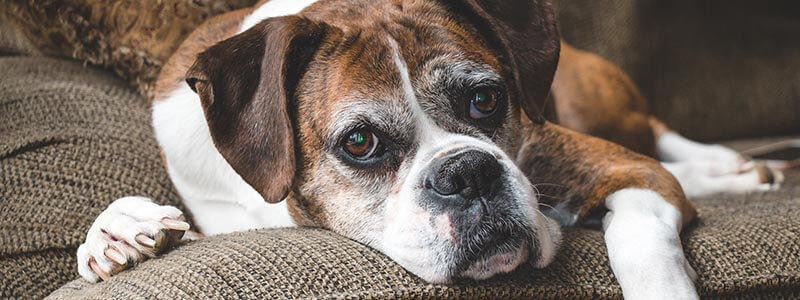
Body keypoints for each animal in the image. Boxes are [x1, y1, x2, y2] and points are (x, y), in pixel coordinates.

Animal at [76, 0, 780, 298]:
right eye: (360, 142)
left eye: (486, 101)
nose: (468, 172)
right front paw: (118, 235)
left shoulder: (624, 170)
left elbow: (640, 236)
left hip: (604, 107)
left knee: (658, 133)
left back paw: (738, 166)